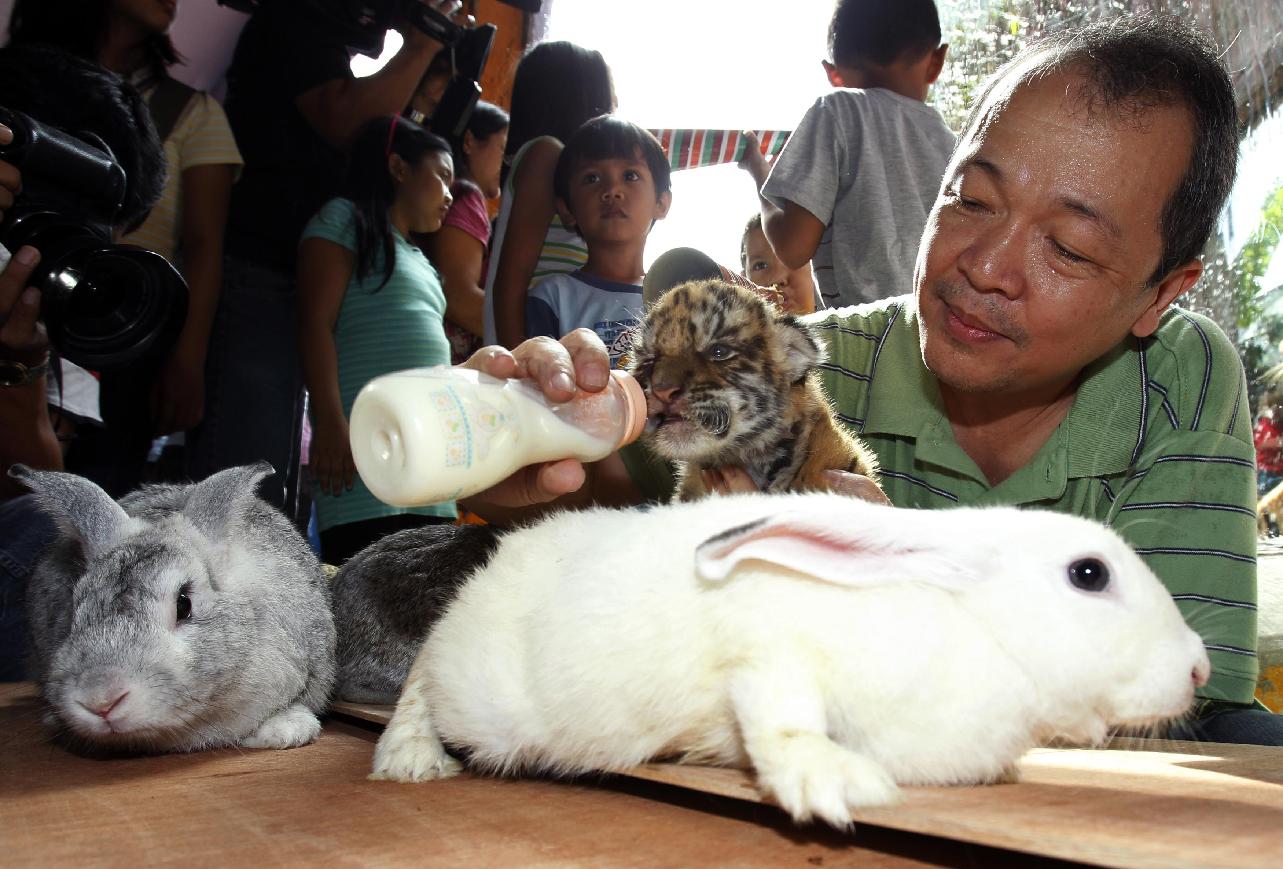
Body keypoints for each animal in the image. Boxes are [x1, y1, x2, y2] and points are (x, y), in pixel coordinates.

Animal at [372, 490, 1211, 821]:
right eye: (1088, 574)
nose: (1198, 667)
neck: (970, 622)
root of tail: (499, 557)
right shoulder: (770, 651)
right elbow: (779, 714)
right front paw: (836, 782)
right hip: (474, 687)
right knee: (420, 680)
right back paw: (409, 759)